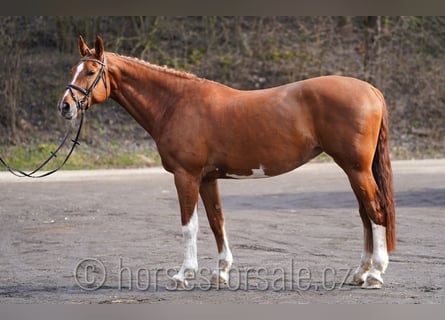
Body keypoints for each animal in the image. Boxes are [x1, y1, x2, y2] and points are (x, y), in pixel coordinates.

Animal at [57, 36, 394, 288]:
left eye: (90, 72)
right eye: (73, 68)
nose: (65, 106)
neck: (176, 103)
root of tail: (371, 89)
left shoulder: (186, 175)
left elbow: (189, 225)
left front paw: (183, 274)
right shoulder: (207, 178)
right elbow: (216, 220)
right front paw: (221, 272)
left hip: (356, 169)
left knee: (375, 211)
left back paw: (376, 274)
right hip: (355, 170)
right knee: (365, 214)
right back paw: (361, 272)